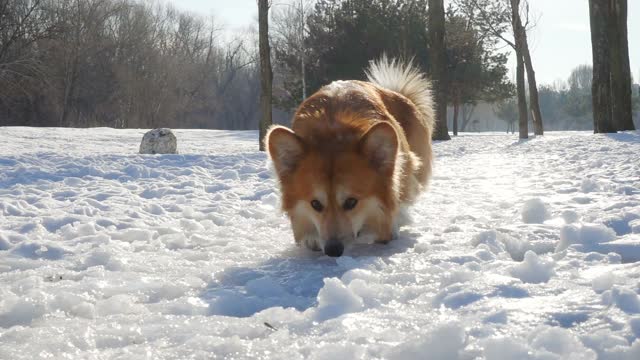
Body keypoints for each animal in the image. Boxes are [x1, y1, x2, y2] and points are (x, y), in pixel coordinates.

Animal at [264, 57, 436, 256]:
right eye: (315, 204)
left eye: (351, 202)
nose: (333, 250)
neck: (333, 132)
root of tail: (395, 91)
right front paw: (311, 239)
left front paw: (391, 226)